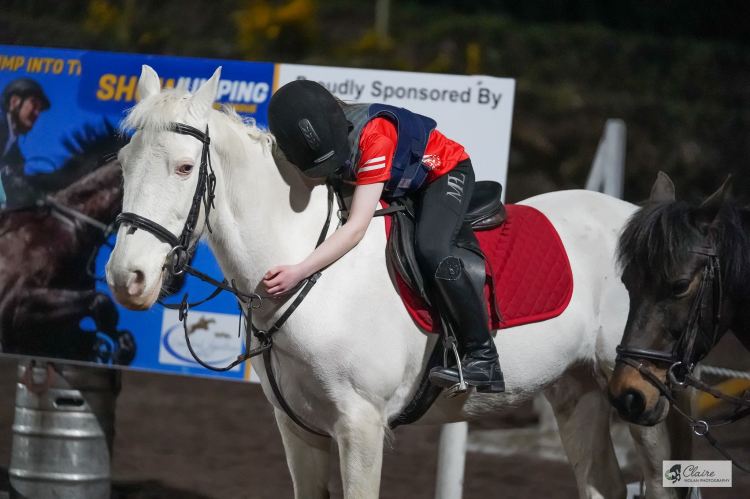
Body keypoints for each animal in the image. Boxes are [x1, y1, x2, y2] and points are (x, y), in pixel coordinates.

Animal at [106, 65, 685, 499]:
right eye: (123, 163)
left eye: (185, 168)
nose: (125, 277)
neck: (315, 274)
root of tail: (639, 218)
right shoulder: (299, 432)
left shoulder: (360, 427)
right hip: (578, 391)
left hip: (641, 398)